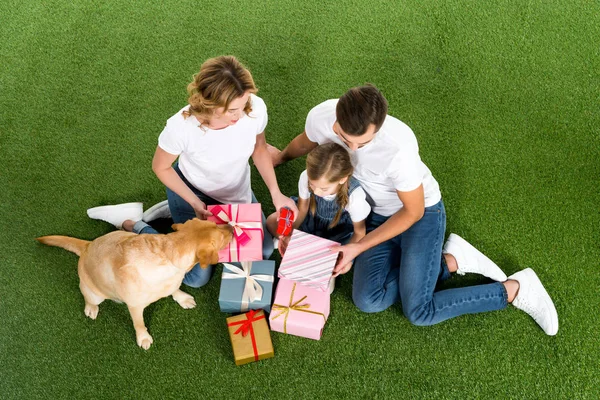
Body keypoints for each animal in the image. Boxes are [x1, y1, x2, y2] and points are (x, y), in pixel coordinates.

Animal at [36, 219, 231, 350]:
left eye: (215, 223)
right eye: (221, 236)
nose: (230, 225)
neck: (166, 253)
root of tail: (87, 245)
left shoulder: (172, 282)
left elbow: (175, 289)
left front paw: (182, 298)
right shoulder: (135, 306)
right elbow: (139, 324)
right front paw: (143, 337)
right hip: (94, 293)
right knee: (89, 298)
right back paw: (91, 308)